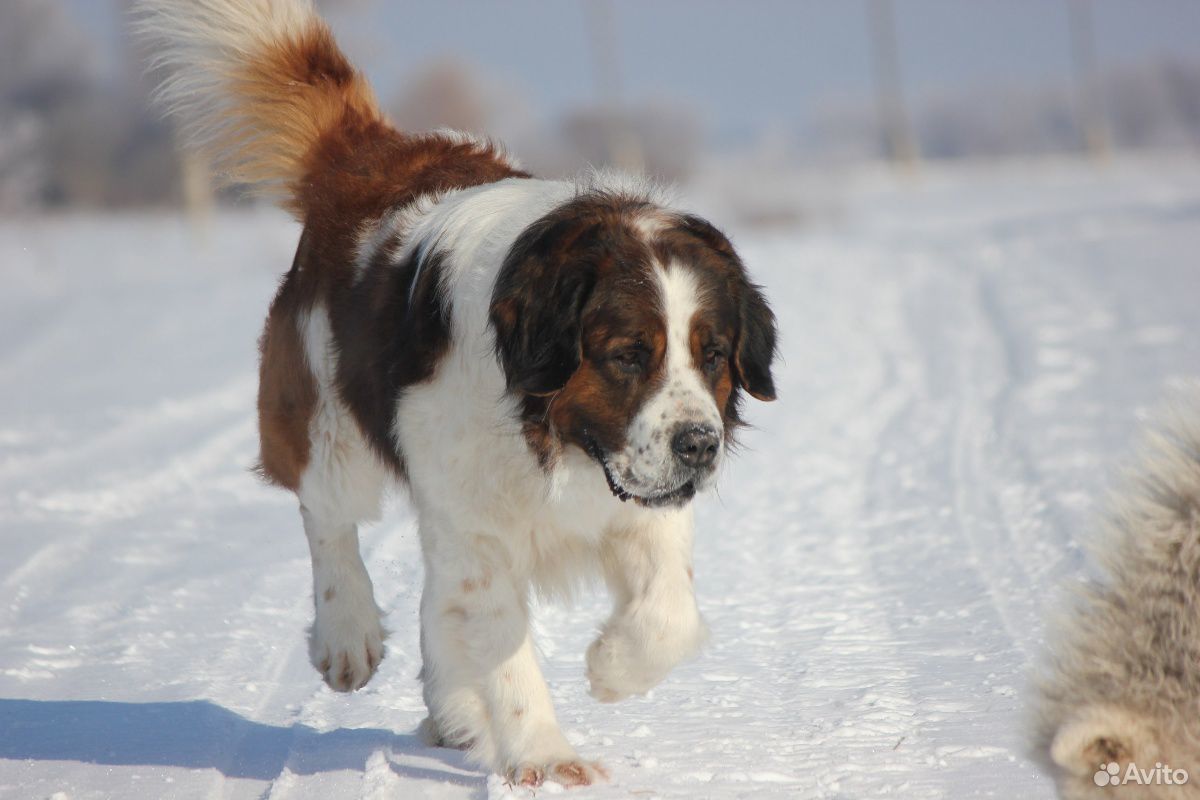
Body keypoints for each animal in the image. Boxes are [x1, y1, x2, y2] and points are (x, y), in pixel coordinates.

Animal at [138, 0, 777, 786]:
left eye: (712, 355)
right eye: (629, 356)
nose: (700, 446)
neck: (548, 438)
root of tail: (369, 160)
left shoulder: (637, 506)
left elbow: (669, 613)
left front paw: (611, 669)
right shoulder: (479, 529)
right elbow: (503, 645)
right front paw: (546, 757)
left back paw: (454, 712)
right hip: (326, 419)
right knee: (327, 512)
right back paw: (349, 633)